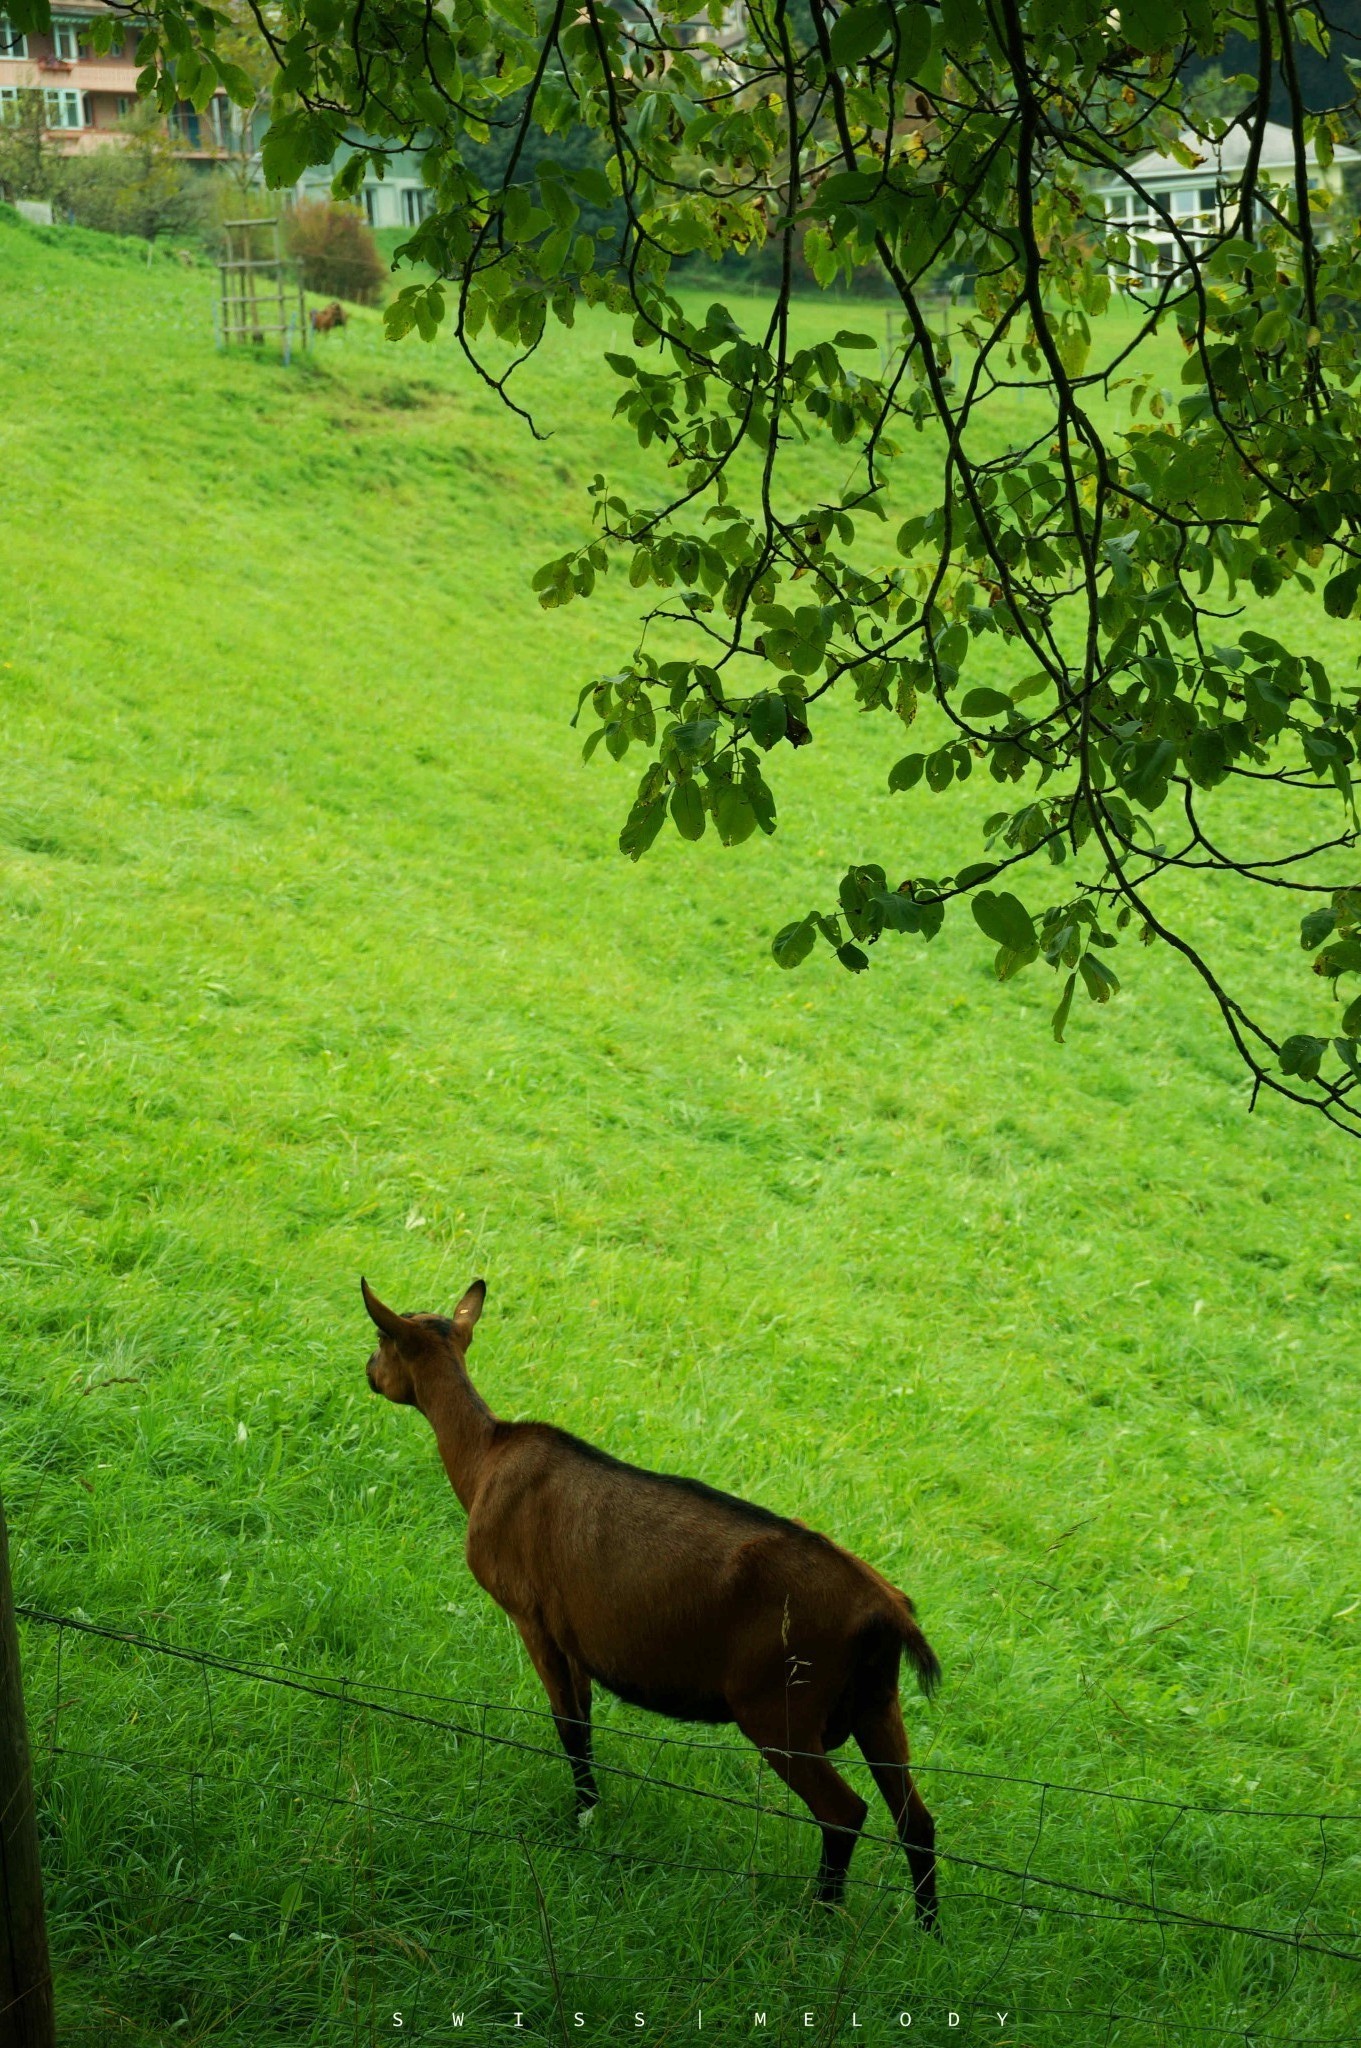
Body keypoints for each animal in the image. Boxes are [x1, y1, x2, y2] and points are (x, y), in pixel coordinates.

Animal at [356, 1269, 941, 1925]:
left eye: (382, 1337)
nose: (367, 1370)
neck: (484, 1461)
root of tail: (887, 1612)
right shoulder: (576, 1635)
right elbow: (583, 1719)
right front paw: (590, 1811)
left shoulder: (532, 1615)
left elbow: (568, 1723)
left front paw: (583, 1819)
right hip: (876, 1701)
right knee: (916, 1819)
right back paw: (928, 1933)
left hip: (781, 1705)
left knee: (846, 1814)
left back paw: (819, 1921)